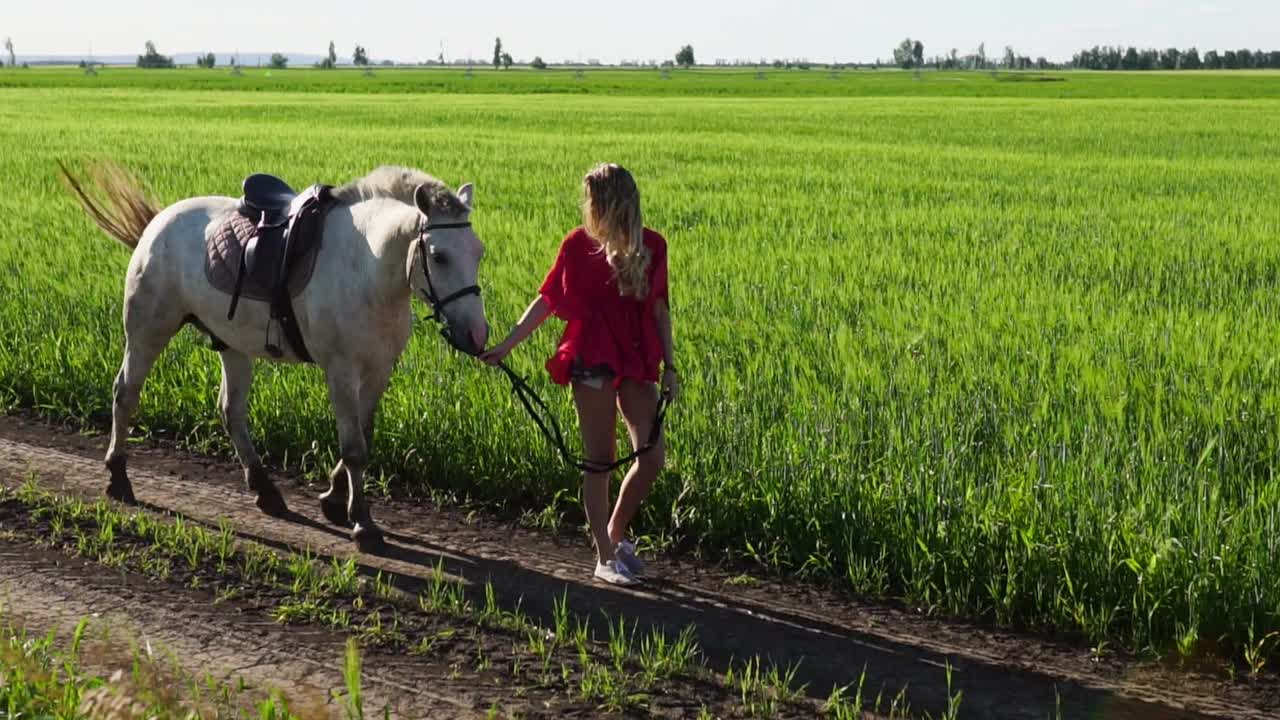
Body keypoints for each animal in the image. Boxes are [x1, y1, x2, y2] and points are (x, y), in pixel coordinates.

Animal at [58, 162, 489, 551]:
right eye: (439, 255)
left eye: (479, 252)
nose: (477, 335)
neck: (368, 267)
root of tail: (159, 220)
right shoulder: (341, 371)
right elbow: (354, 447)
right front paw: (363, 523)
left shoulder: (379, 369)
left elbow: (364, 434)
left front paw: (334, 499)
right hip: (148, 330)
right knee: (126, 392)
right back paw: (118, 477)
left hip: (232, 345)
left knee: (230, 411)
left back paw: (266, 491)